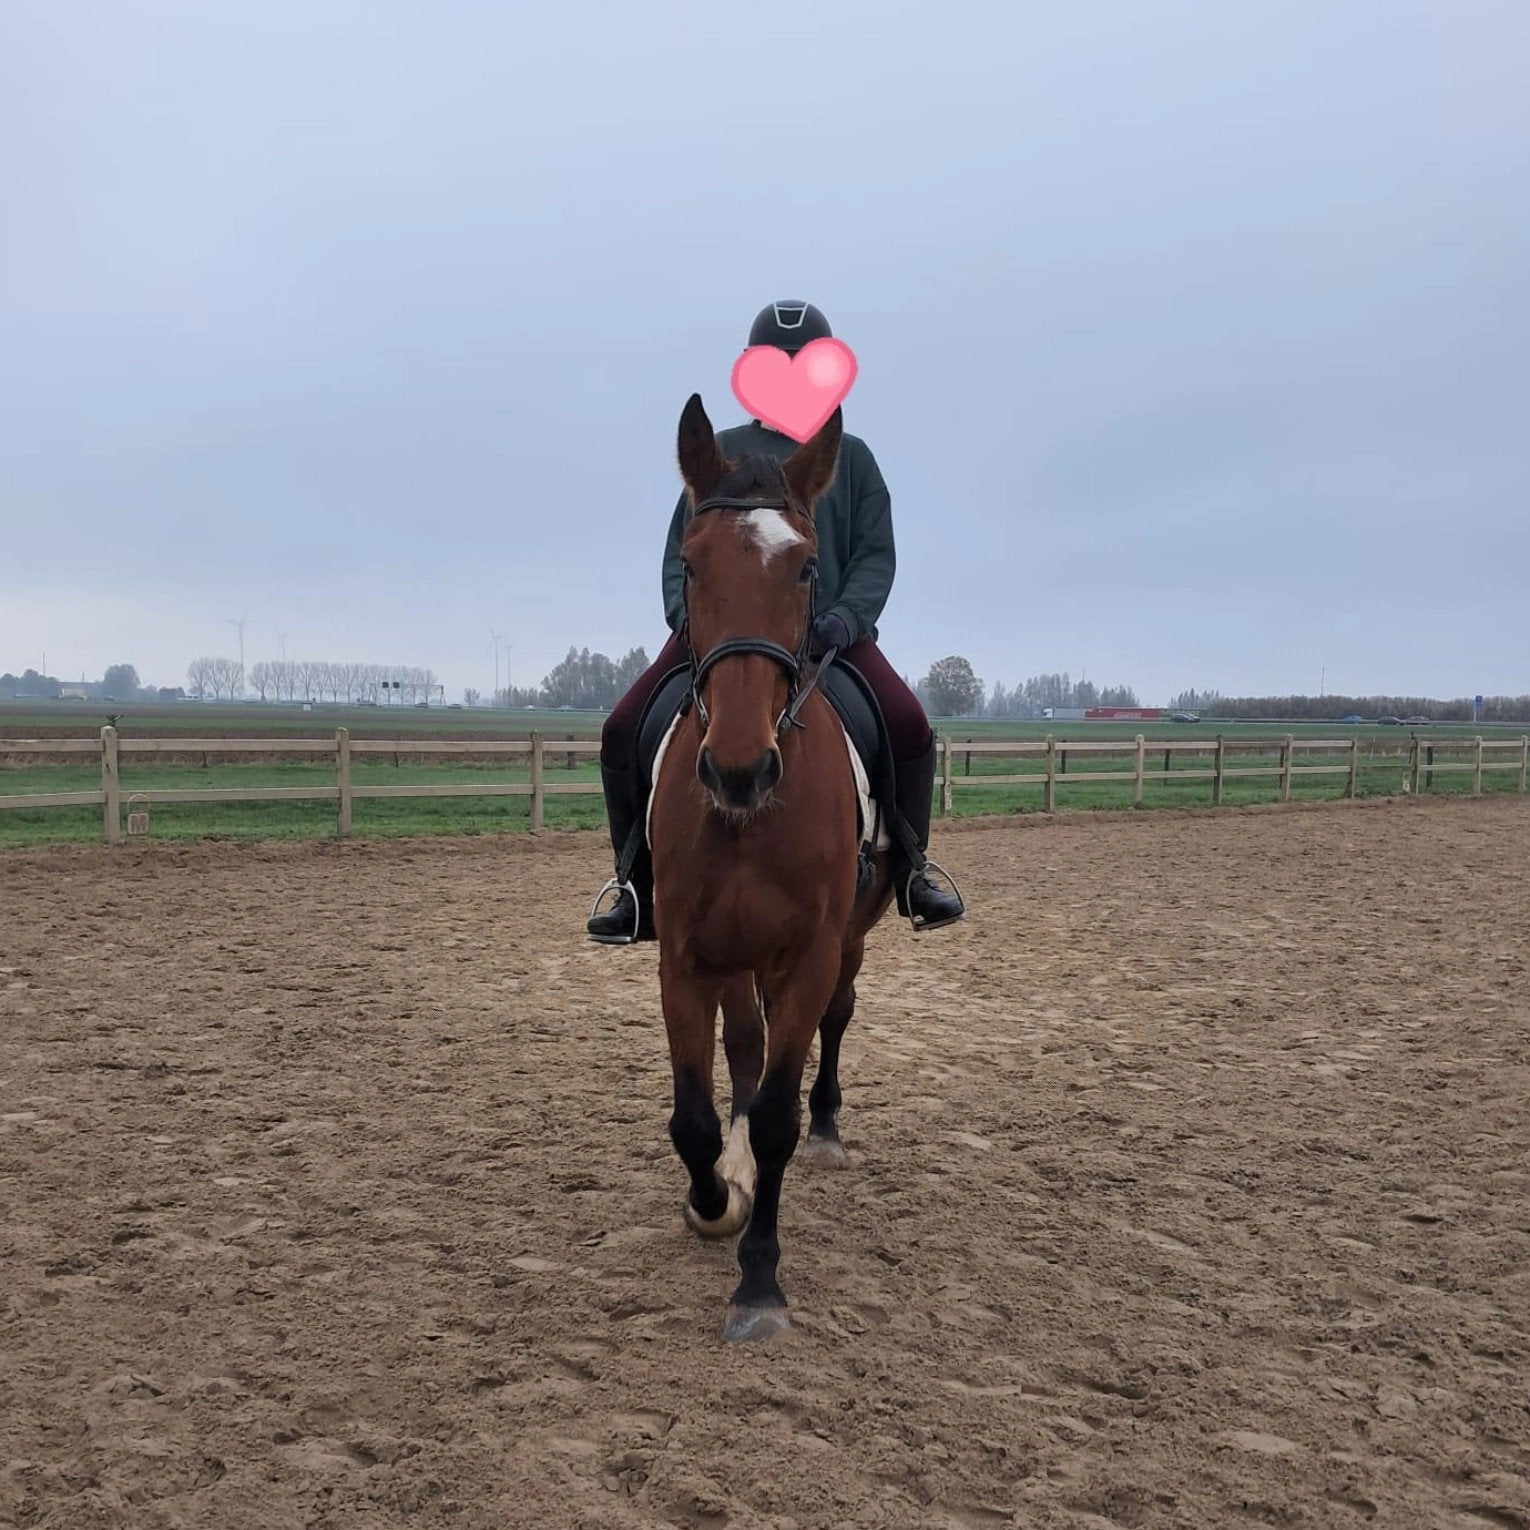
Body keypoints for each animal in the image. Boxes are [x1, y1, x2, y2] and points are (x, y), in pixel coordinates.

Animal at [647, 393, 896, 1342]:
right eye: (691, 563)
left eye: (805, 569)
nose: (739, 770)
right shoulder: (684, 955)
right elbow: (693, 1115)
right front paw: (716, 1199)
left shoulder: (809, 954)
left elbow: (781, 1115)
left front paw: (759, 1282)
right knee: (744, 1048)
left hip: (848, 941)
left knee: (836, 1022)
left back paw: (826, 1129)